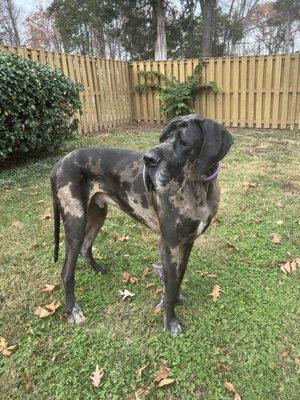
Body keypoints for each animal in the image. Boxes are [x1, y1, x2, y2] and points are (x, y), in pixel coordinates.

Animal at [51, 114, 234, 336]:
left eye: (183, 142)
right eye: (163, 137)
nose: (148, 159)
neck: (198, 186)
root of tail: (58, 164)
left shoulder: (187, 242)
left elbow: (178, 278)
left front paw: (174, 300)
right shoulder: (169, 245)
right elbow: (170, 284)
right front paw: (170, 321)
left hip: (97, 213)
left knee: (86, 247)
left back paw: (98, 269)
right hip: (75, 221)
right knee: (67, 270)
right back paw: (72, 310)